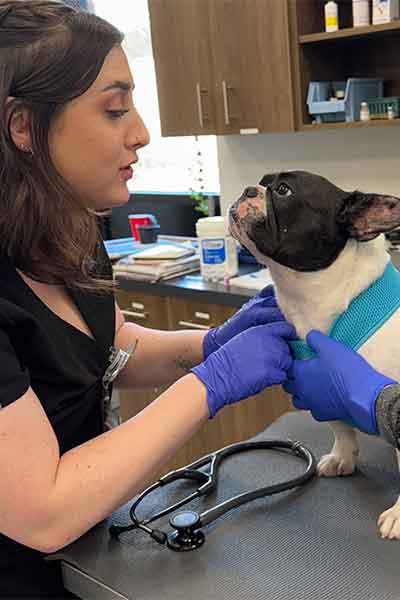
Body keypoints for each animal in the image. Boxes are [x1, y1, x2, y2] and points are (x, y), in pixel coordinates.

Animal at [228, 170, 400, 540]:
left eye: (283, 190)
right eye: (263, 181)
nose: (248, 190)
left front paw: (399, 515)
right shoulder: (322, 385)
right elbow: (340, 426)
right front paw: (343, 457)